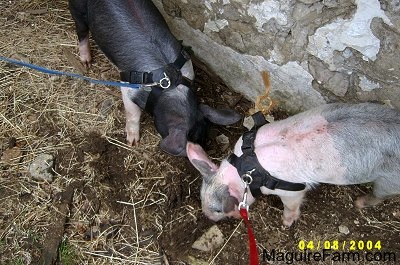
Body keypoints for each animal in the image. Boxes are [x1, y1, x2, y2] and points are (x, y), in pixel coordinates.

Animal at [68, 0, 241, 156]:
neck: (170, 85)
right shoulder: (128, 85)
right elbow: (133, 113)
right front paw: (132, 142)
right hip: (78, 10)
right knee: (81, 31)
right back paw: (86, 63)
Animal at [188, 102, 400, 225]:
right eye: (200, 197)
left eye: (217, 209)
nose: (208, 217)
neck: (246, 168)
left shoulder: (290, 189)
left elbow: (291, 205)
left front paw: (286, 223)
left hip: (389, 180)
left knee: (380, 195)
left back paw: (358, 202)